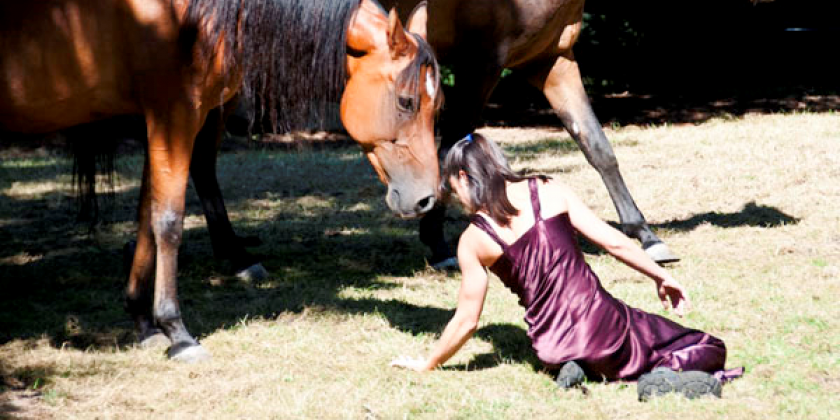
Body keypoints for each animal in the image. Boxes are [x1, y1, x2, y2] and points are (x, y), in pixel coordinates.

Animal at [0, 0, 443, 362]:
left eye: (436, 105)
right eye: (406, 101)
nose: (426, 200)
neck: (186, 12)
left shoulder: (162, 121)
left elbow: (146, 218)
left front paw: (143, 323)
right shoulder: (174, 116)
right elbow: (168, 222)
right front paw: (176, 332)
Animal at [378, 0, 679, 266]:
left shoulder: (552, 60)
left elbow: (596, 145)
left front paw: (645, 234)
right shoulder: (481, 64)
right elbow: (448, 151)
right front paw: (437, 243)